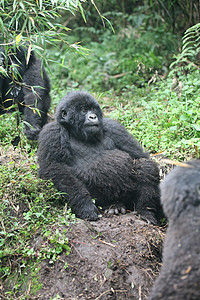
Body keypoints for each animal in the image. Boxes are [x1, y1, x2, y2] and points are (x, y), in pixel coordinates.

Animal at [36, 91, 163, 225]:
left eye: (92, 109)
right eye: (83, 110)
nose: (93, 117)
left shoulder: (114, 128)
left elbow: (140, 157)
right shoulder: (52, 132)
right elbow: (55, 168)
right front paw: (85, 206)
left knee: (145, 167)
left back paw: (145, 211)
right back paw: (113, 205)